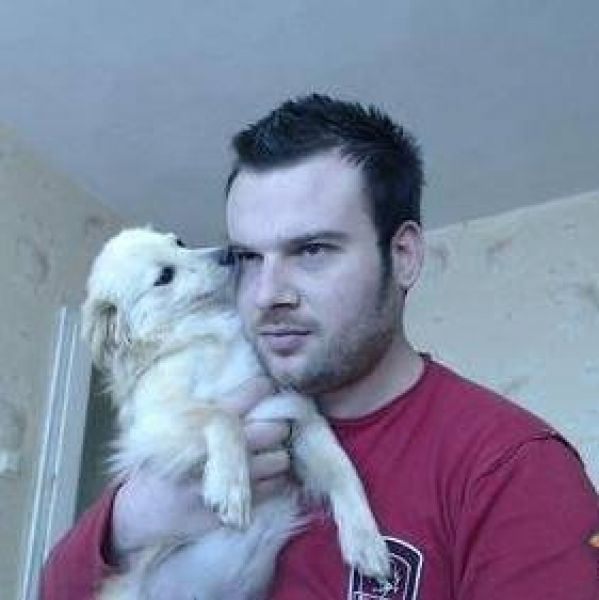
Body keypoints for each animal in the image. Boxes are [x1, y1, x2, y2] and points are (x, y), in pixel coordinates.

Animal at [81, 227, 389, 599]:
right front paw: (230, 485)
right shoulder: (152, 426)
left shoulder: (296, 415)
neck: (209, 331)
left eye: (179, 242)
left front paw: (366, 540)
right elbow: (222, 416)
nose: (228, 253)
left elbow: (344, 472)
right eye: (164, 277)